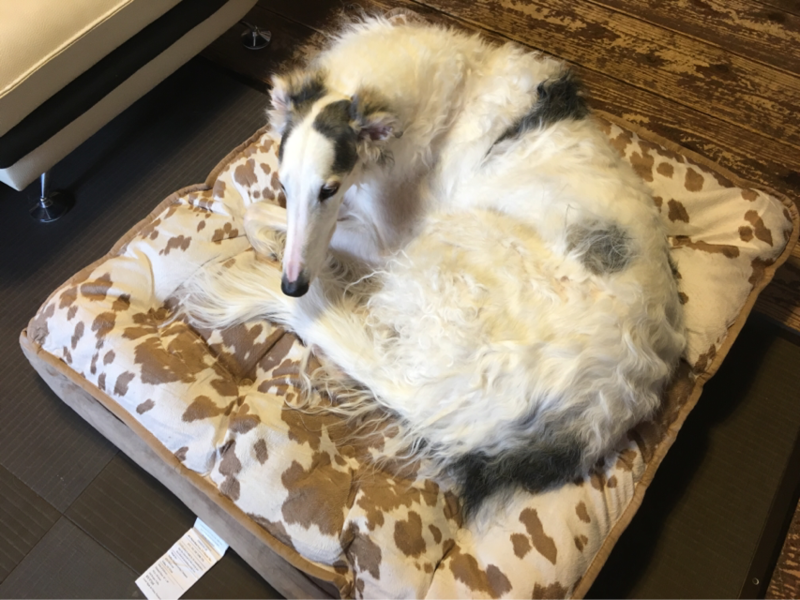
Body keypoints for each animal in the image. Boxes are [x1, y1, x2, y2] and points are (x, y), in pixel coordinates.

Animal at [183, 15, 686, 517]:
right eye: (285, 184)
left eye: (329, 189)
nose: (292, 287)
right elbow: (260, 212)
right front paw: (272, 241)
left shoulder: (385, 241)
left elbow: (265, 217)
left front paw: (276, 247)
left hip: (445, 248)